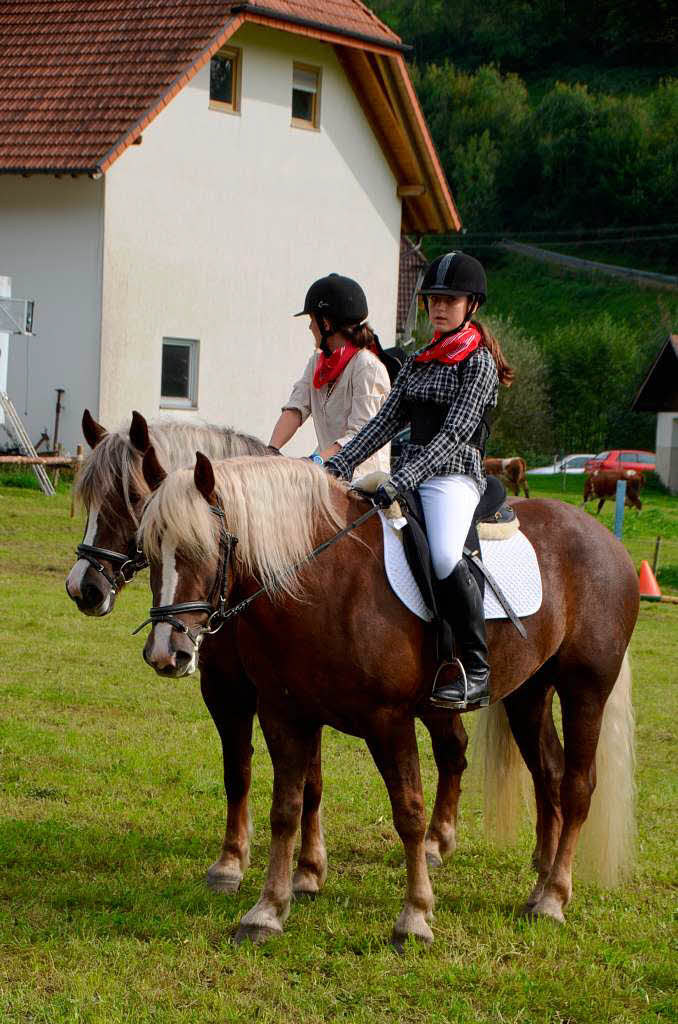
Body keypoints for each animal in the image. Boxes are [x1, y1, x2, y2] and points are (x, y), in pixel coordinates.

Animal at [139, 452, 643, 946]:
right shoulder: (284, 715)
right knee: (548, 775)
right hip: (529, 694)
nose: (166, 653)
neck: (323, 581)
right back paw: (539, 888)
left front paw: (414, 917)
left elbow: (409, 814)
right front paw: (266, 912)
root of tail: (607, 541)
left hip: (585, 688)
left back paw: (554, 899)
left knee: (577, 787)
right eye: (149, 552)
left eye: (200, 548)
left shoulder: (389, 721)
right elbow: (286, 810)